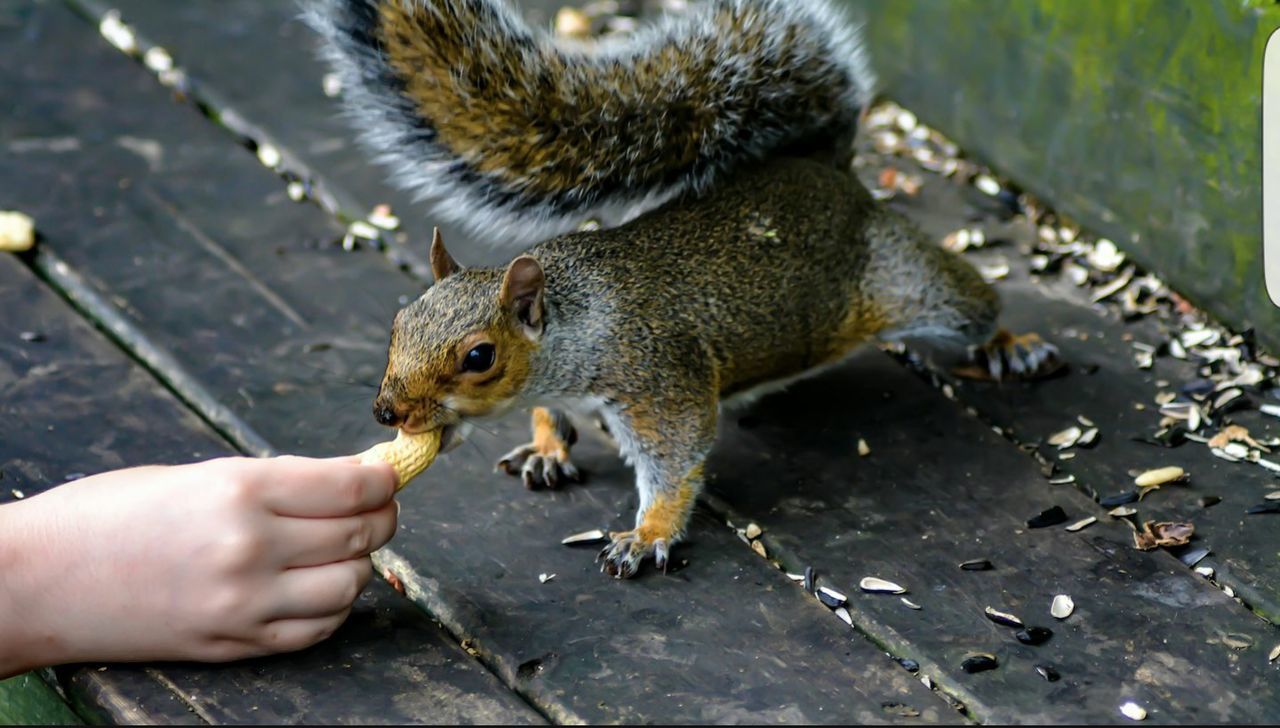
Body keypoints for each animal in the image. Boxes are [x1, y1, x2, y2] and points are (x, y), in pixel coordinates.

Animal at [307, 0, 1059, 578]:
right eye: (400, 322)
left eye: (478, 357)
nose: (387, 411)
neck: (573, 324)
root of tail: (827, 171)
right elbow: (551, 416)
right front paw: (548, 448)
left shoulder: (657, 382)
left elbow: (676, 458)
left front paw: (646, 537)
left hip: (907, 280)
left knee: (970, 305)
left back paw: (1012, 344)